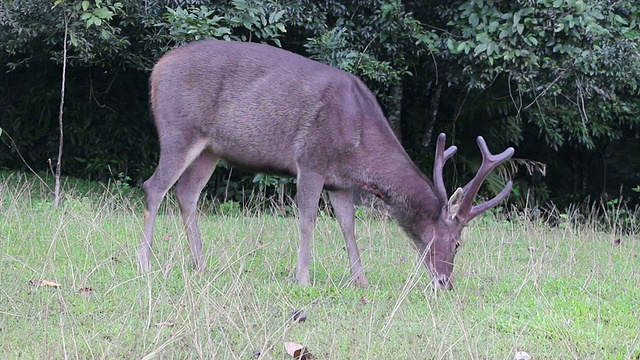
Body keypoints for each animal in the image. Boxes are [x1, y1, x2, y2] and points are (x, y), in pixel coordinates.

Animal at [138, 39, 512, 290]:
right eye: (458, 243)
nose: (445, 283)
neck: (359, 148)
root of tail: (156, 70)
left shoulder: (340, 182)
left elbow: (348, 226)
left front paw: (361, 279)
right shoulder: (311, 160)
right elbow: (307, 220)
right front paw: (302, 277)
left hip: (211, 149)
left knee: (186, 193)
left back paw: (201, 264)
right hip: (179, 129)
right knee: (154, 186)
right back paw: (145, 261)